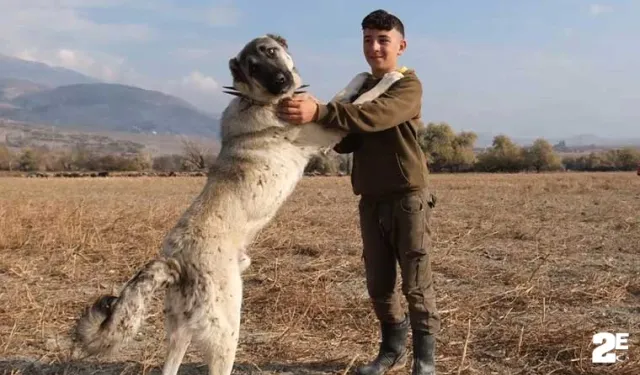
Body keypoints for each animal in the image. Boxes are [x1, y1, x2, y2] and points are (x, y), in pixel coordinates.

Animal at [72, 34, 408, 375]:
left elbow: (343, 96)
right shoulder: (327, 131)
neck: (258, 100)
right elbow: (359, 102)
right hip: (226, 331)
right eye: (254, 68)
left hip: (180, 330)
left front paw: (363, 75)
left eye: (271, 52)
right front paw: (391, 78)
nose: (281, 81)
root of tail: (174, 261)